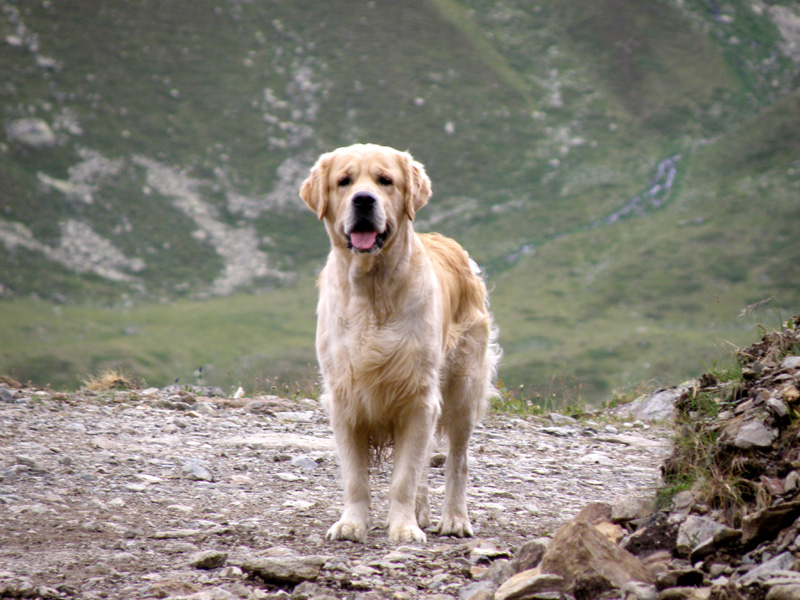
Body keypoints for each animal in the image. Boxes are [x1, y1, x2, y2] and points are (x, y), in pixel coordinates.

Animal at [300, 144, 500, 544]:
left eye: (385, 180)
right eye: (344, 181)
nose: (363, 200)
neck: (373, 290)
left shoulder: (419, 397)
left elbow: (403, 477)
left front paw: (404, 528)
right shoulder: (344, 399)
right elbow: (356, 478)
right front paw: (352, 523)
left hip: (463, 387)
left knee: (457, 460)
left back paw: (454, 519)